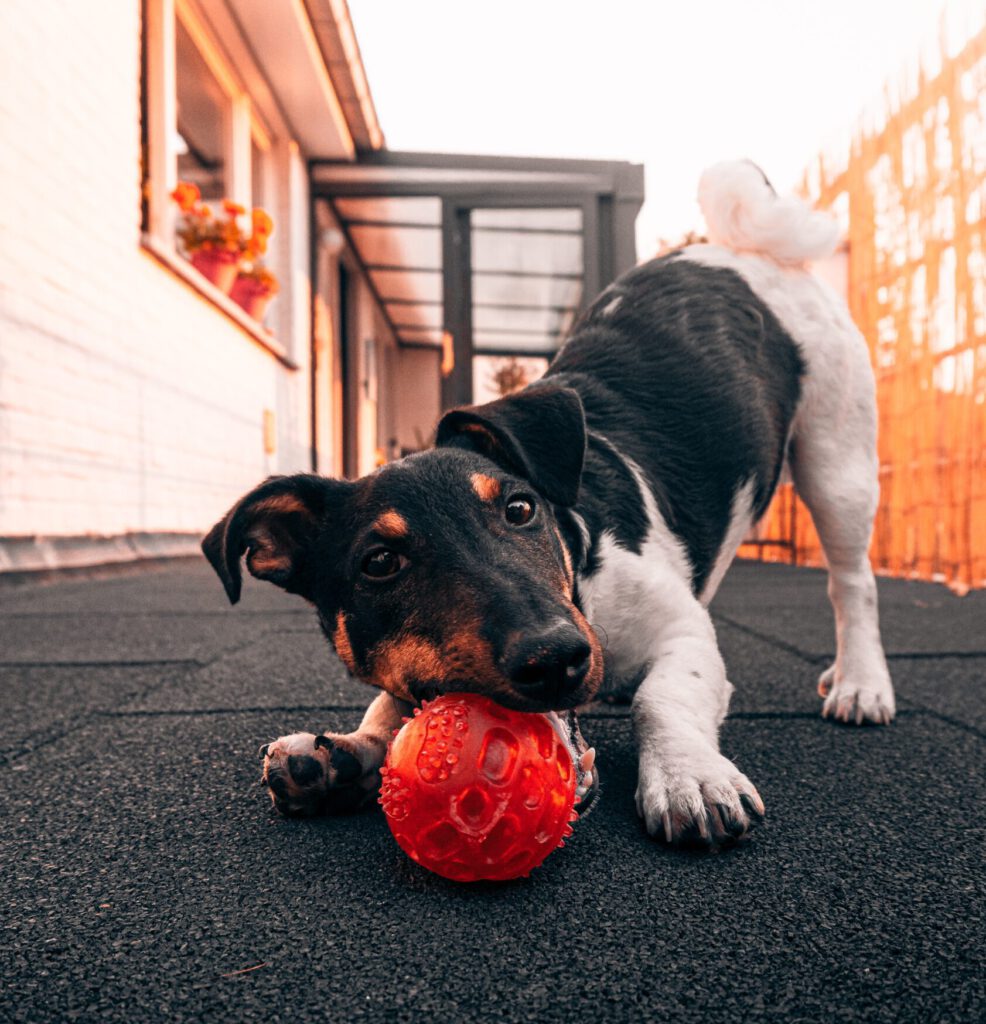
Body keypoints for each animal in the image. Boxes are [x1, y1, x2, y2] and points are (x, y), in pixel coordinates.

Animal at [200, 161, 892, 847]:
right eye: (379, 563)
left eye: (519, 510)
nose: (557, 659)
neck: (582, 570)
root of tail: (743, 249)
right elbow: (387, 707)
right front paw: (344, 754)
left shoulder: (681, 630)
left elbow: (663, 696)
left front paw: (688, 775)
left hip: (839, 464)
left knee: (852, 584)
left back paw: (859, 683)